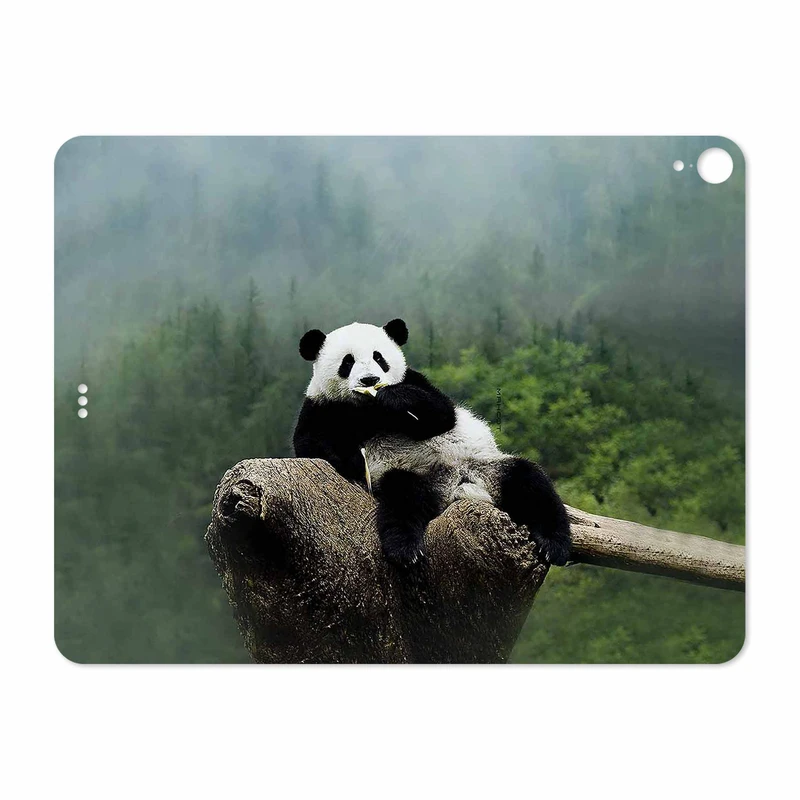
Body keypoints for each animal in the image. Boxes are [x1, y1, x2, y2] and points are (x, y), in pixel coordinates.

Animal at [293, 318, 571, 567]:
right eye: (348, 361)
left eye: (379, 358)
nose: (370, 380)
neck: (368, 409)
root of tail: (458, 486)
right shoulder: (322, 407)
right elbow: (310, 445)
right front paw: (352, 460)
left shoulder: (415, 380)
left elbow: (442, 414)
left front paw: (394, 398)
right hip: (414, 476)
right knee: (403, 497)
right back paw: (405, 549)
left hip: (487, 467)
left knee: (530, 482)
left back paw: (553, 544)